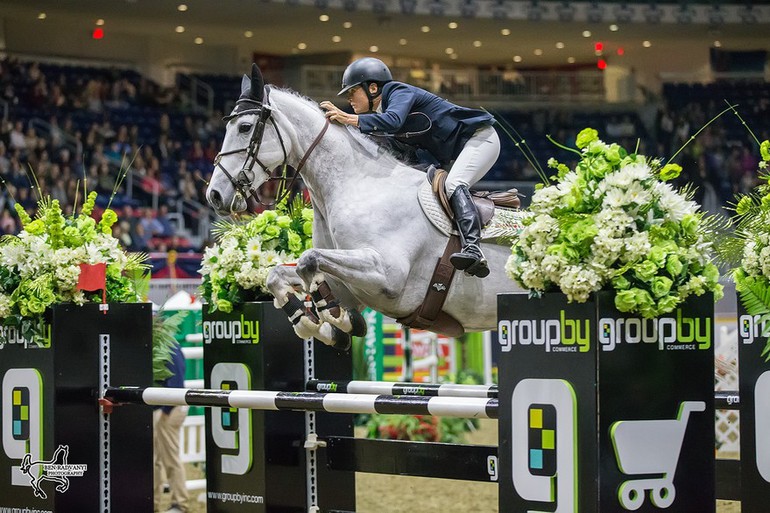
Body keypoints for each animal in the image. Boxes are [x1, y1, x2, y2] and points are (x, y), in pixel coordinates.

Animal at [206, 63, 520, 344]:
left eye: (245, 127)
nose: (215, 195)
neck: (356, 183)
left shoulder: (387, 275)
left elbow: (309, 260)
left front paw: (336, 317)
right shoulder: (347, 285)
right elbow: (277, 275)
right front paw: (316, 323)